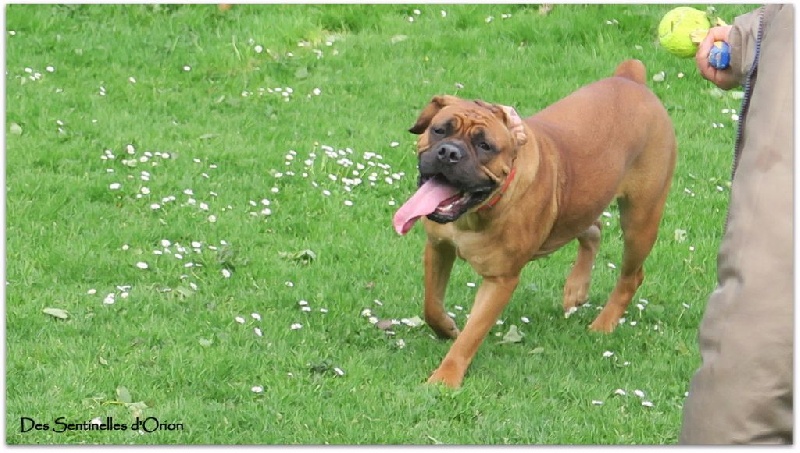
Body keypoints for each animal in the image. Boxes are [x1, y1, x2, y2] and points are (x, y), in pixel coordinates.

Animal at [394, 58, 676, 386]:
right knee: (593, 229)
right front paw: (446, 328)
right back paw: (576, 287)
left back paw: (603, 324)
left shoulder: (500, 281)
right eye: (439, 130)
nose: (450, 152)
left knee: (631, 276)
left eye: (485, 146)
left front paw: (446, 377)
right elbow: (431, 304)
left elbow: (471, 335)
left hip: (640, 221)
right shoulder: (439, 247)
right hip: (583, 199)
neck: (476, 214)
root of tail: (631, 79)